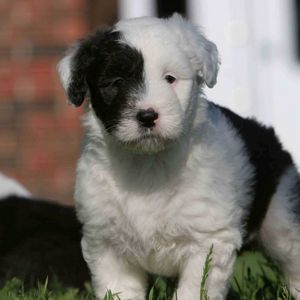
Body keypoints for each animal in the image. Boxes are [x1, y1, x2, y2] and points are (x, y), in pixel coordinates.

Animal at [56, 12, 300, 298]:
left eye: (170, 79)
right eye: (116, 83)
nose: (147, 116)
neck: (148, 163)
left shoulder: (208, 242)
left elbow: (194, 289)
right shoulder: (107, 243)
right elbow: (119, 288)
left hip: (283, 215)